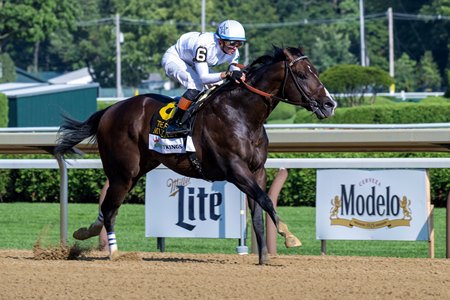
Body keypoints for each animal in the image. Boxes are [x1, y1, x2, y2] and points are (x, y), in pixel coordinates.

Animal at [54, 45, 336, 264]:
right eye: (302, 74)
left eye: (316, 72)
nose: (329, 104)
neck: (242, 114)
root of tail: (110, 110)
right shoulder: (236, 170)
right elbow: (266, 200)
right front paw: (289, 236)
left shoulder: (257, 170)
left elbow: (258, 208)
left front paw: (263, 257)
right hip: (123, 171)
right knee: (110, 207)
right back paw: (113, 251)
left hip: (136, 170)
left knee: (108, 206)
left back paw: (86, 232)